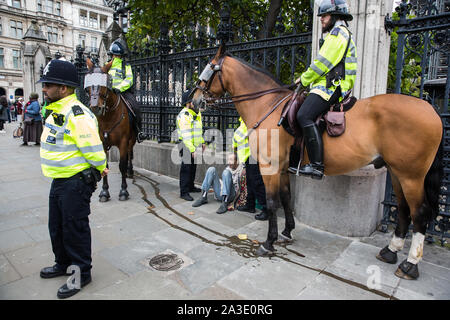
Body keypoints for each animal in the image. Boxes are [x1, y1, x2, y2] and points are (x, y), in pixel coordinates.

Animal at [85, 57, 136, 201]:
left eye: (105, 85)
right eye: (88, 87)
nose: (95, 107)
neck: (108, 118)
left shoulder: (123, 141)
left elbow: (122, 165)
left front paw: (123, 191)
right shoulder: (102, 142)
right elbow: (105, 166)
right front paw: (104, 192)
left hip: (132, 139)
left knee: (129, 153)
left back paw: (130, 171)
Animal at [192, 45, 442, 280]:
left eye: (208, 68)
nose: (194, 100)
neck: (267, 105)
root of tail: (431, 109)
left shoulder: (269, 167)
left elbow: (272, 202)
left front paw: (269, 242)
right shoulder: (283, 169)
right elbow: (286, 197)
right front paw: (287, 231)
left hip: (411, 176)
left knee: (419, 212)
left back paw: (410, 264)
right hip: (397, 173)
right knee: (403, 209)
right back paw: (391, 250)